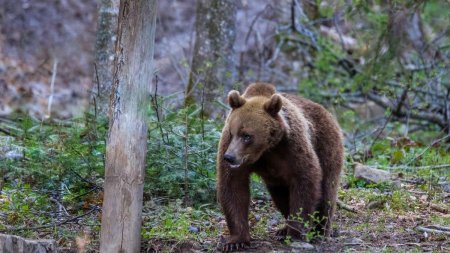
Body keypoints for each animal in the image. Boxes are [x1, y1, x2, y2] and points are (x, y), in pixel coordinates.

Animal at [216, 82, 342, 251]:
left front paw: (296, 233)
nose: (229, 157)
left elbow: (306, 179)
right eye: (232, 132)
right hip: (277, 181)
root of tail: (325, 111)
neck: (267, 149)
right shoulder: (231, 149)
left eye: (247, 136)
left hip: (326, 144)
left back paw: (320, 230)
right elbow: (233, 187)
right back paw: (283, 229)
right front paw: (235, 241)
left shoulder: (292, 147)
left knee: (327, 190)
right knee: (281, 197)